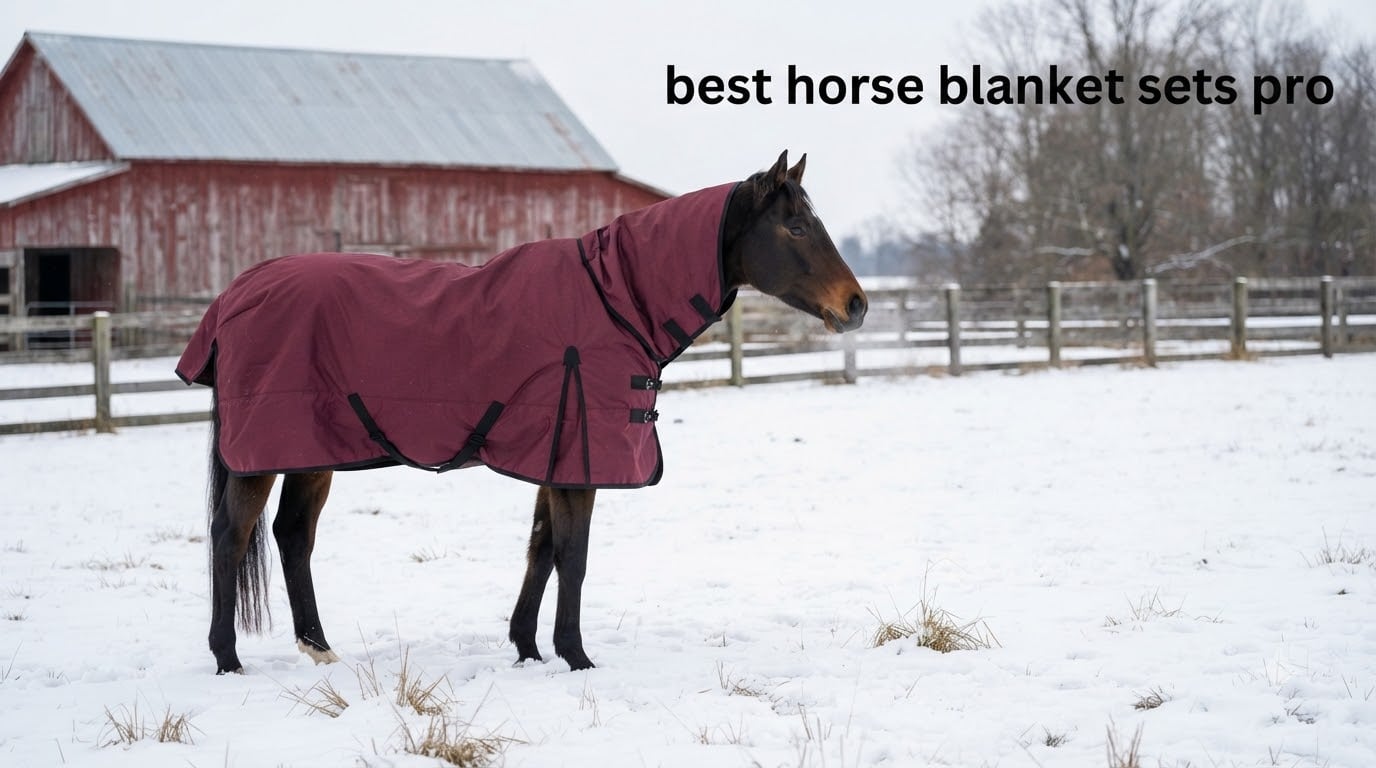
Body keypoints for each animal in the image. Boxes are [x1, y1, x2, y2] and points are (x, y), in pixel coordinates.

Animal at [180, 150, 867, 674]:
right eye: (796, 229)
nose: (856, 305)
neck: (616, 301)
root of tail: (237, 294)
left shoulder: (554, 455)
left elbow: (542, 549)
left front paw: (529, 649)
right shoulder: (579, 462)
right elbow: (574, 556)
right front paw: (577, 657)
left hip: (312, 452)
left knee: (293, 535)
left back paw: (319, 649)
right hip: (265, 453)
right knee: (230, 535)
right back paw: (227, 660)